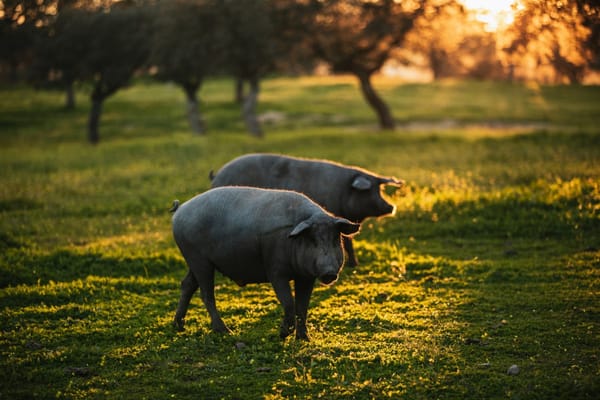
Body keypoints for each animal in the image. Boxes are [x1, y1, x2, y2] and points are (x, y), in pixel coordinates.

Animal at [171, 188, 358, 340]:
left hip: (194, 261)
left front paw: (304, 339)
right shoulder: (275, 271)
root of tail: (180, 210)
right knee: (206, 294)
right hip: (198, 258)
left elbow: (302, 307)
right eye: (312, 240)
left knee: (187, 285)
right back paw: (225, 331)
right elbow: (289, 303)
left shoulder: (306, 277)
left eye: (336, 240)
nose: (329, 273)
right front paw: (283, 334)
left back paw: (179, 326)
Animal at [211, 155, 404, 268]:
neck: (343, 190)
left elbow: (348, 242)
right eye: (370, 190)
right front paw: (352, 266)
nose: (391, 207)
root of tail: (217, 175)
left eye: (379, 188)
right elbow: (346, 242)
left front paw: (354, 265)